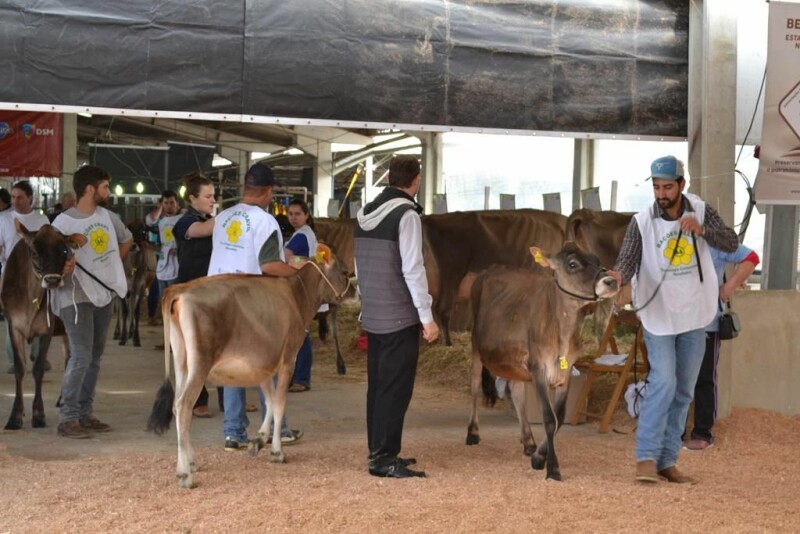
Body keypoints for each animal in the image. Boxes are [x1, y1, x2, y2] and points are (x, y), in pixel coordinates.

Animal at [0, 221, 77, 432]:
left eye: (64, 251)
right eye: (34, 252)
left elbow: (38, 368)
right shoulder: (14, 326)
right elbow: (20, 368)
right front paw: (15, 416)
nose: (52, 280)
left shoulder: (46, 330)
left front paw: (38, 415)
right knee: (68, 357)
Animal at [148, 249, 348, 492]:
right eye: (345, 271)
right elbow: (279, 403)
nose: (354, 290)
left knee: (177, 407)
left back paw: (191, 462)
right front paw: (277, 452)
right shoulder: (288, 358)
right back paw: (185, 475)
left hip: (181, 361)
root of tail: (180, 288)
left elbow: (270, 401)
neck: (297, 295)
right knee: (183, 405)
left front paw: (260, 439)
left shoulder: (263, 365)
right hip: (200, 362)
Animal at [466, 243, 620, 482]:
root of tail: (489, 269)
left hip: (514, 361)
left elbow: (560, 417)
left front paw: (538, 455)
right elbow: (549, 418)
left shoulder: (565, 372)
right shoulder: (539, 367)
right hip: (475, 343)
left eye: (596, 259)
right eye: (572, 264)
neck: (562, 334)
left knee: (516, 390)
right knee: (474, 384)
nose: (611, 280)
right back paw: (473, 432)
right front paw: (552, 468)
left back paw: (528, 441)